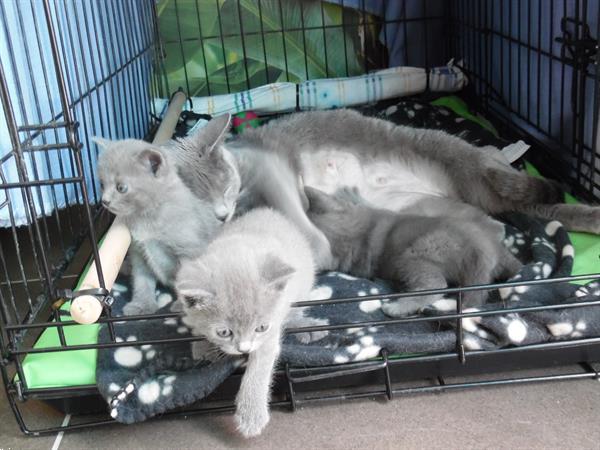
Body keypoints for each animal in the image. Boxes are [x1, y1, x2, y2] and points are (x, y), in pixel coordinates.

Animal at [96, 135, 223, 314]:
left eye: (121, 187)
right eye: (101, 184)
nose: (104, 201)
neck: (147, 219)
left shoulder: (189, 249)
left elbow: (186, 280)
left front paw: (182, 307)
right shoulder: (138, 251)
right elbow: (142, 280)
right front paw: (142, 305)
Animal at [170, 108, 600, 270]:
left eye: (225, 186)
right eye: (199, 205)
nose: (223, 213)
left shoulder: (269, 168)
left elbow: (292, 210)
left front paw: (317, 252)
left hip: (456, 156)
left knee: (514, 185)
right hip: (428, 209)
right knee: (508, 218)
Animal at [173, 209, 324, 438]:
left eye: (261, 327)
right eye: (224, 332)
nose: (243, 349)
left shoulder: (270, 330)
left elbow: (260, 364)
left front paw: (251, 415)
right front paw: (202, 345)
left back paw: (308, 328)